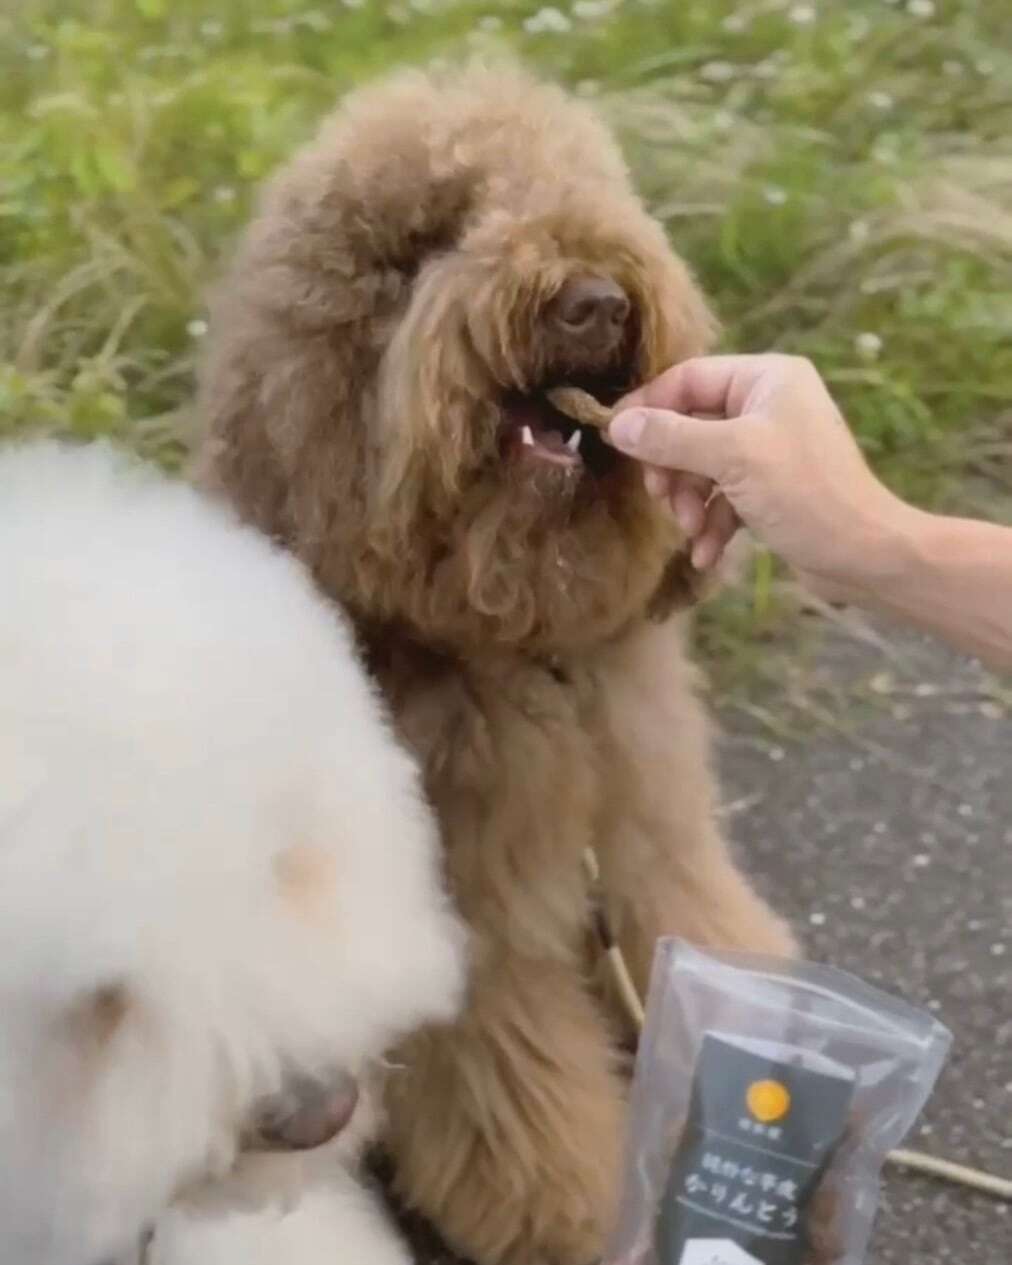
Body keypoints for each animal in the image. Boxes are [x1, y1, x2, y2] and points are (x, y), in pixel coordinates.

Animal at [195, 63, 797, 1265]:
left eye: (583, 188)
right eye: (433, 238)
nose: (594, 299)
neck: (525, 647)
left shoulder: (646, 811)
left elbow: (687, 910)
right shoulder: (471, 915)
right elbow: (508, 1068)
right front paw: (565, 1199)